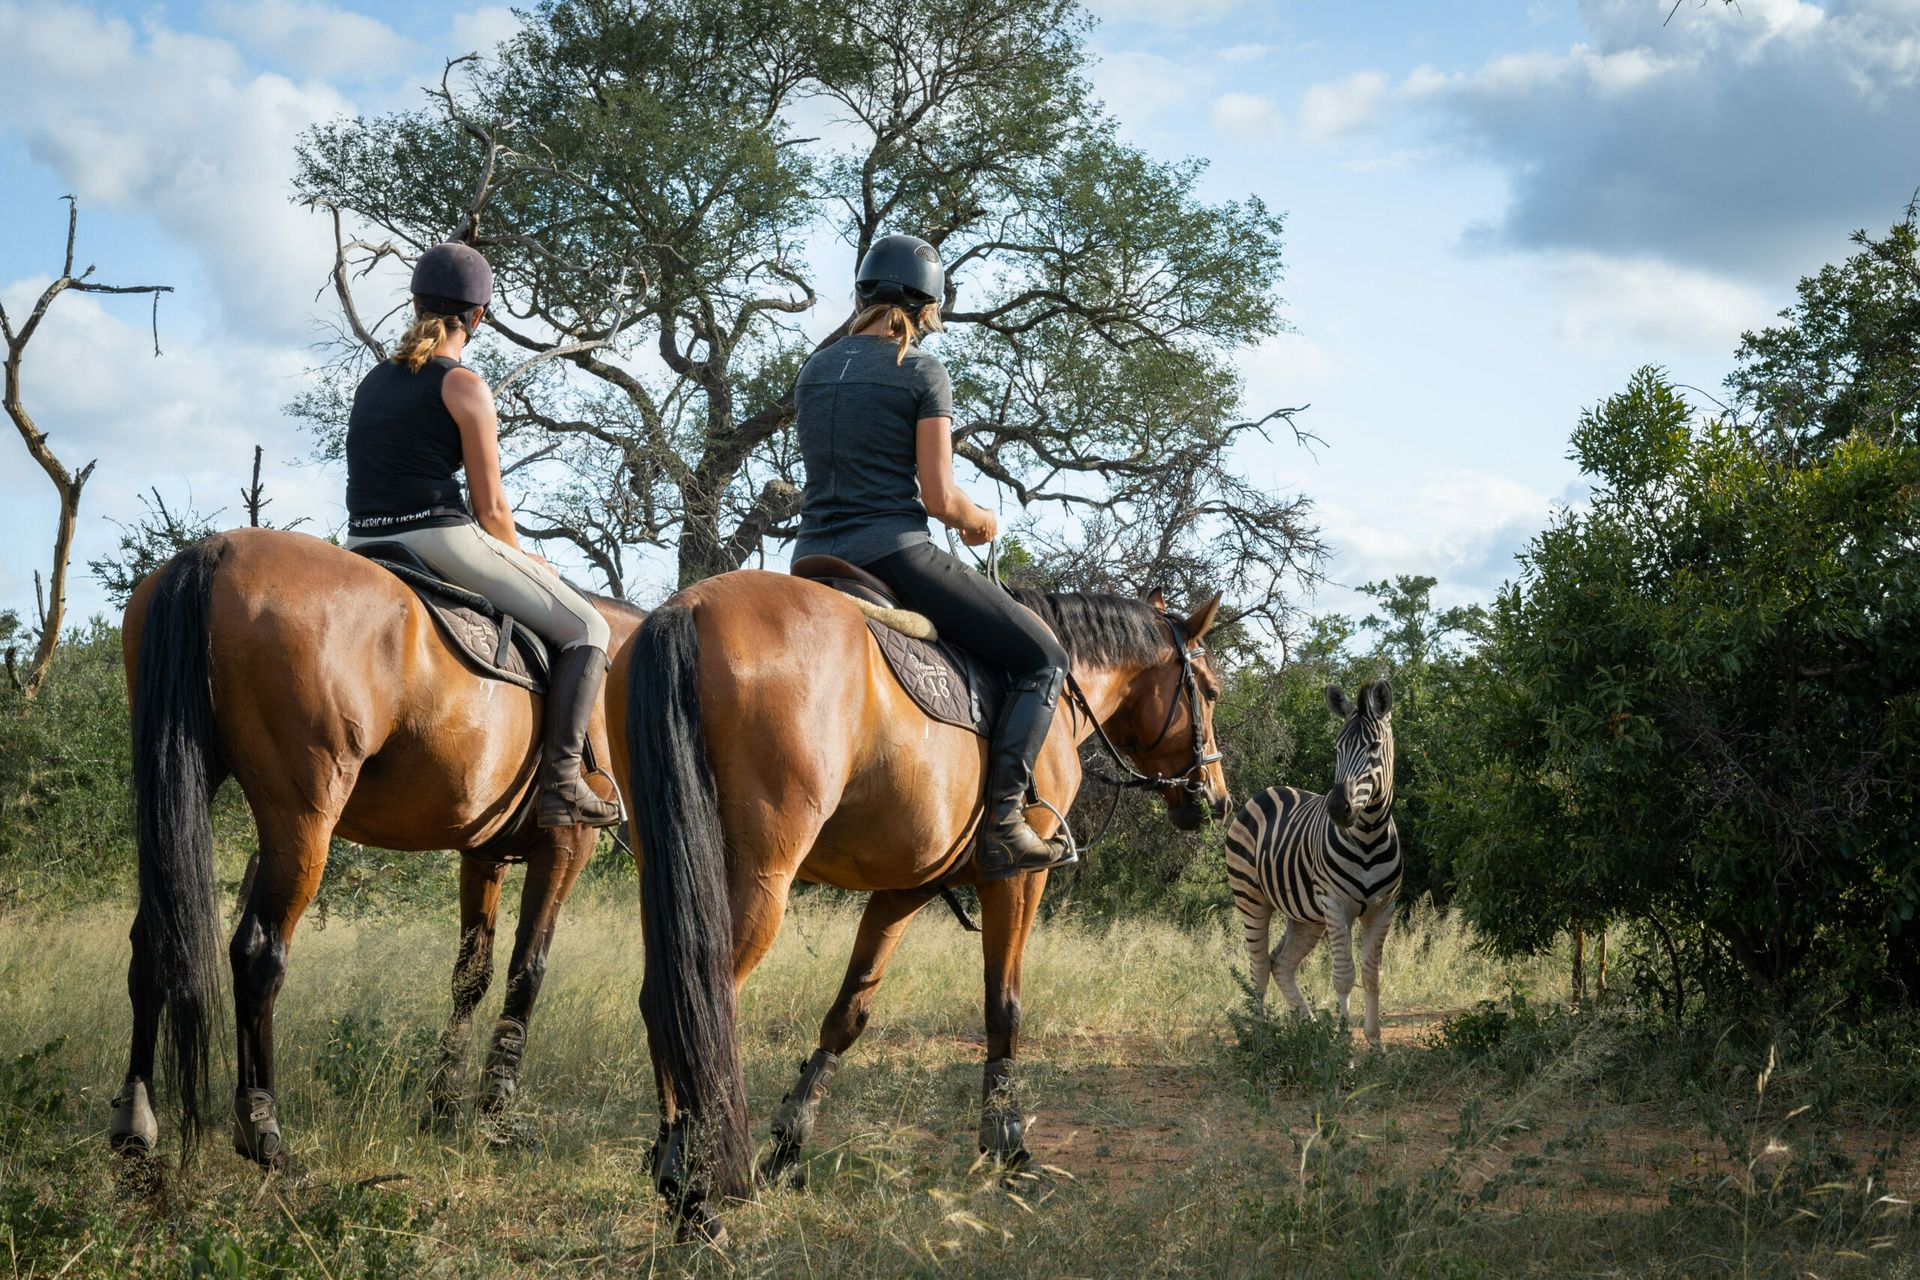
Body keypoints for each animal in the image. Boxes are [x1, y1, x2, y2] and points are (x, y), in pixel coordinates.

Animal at [108, 525, 641, 1166]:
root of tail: (219, 550)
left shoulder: (483, 854)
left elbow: (471, 975)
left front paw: (443, 1107)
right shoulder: (567, 846)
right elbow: (526, 972)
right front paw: (497, 1114)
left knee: (153, 941)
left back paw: (134, 1123)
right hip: (302, 819)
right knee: (259, 954)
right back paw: (262, 1128)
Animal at [622, 571, 1236, 1228]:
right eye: (1210, 691)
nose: (1217, 798)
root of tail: (688, 606)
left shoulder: (904, 888)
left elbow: (848, 1014)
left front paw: (788, 1146)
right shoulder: (1017, 879)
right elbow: (1003, 1007)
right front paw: (1006, 1144)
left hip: (673, 868)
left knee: (665, 999)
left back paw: (673, 1161)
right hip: (759, 879)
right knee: (700, 1002)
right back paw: (693, 1190)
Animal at [1228, 679, 1397, 1051]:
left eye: (1374, 746)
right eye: (1337, 747)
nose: (1337, 808)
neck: (1369, 838)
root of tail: (1268, 790)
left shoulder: (1383, 909)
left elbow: (1372, 976)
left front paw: (1375, 1046)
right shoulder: (1335, 904)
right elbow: (1344, 976)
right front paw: (1344, 1047)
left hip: (1305, 917)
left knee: (1281, 964)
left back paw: (1309, 1029)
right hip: (1252, 899)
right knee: (1259, 967)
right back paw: (1260, 1037)